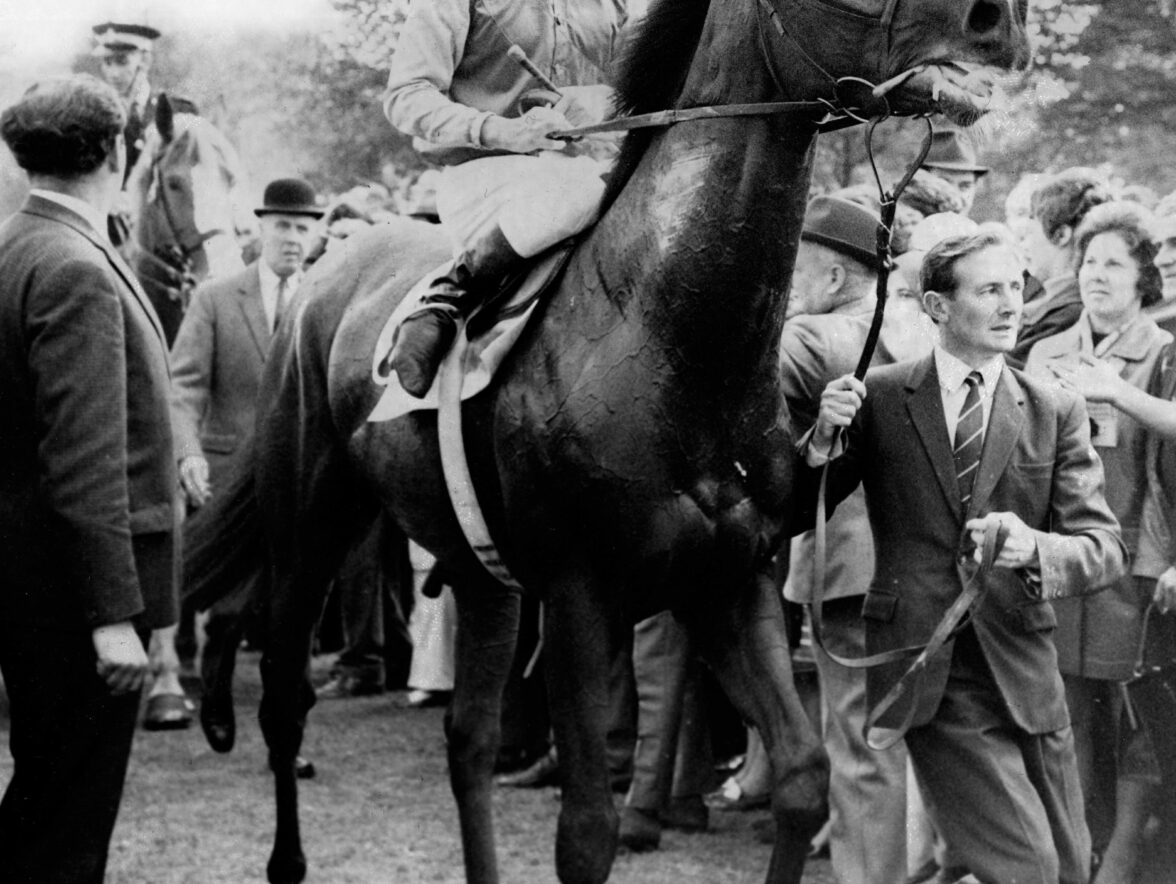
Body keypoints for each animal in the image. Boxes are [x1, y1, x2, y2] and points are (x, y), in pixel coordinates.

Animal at [186, 0, 1029, 882]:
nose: (999, 24)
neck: (664, 339)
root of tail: (315, 285)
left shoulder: (728, 583)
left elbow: (803, 777)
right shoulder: (580, 595)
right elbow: (587, 830)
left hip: (480, 575)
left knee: (468, 741)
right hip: (308, 526)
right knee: (284, 698)